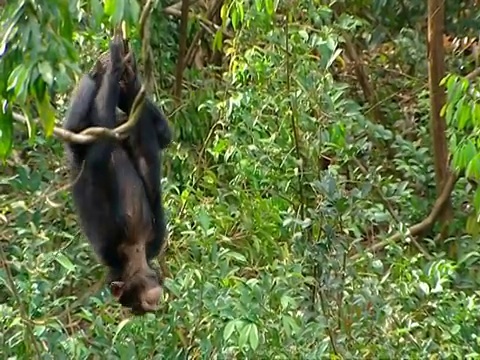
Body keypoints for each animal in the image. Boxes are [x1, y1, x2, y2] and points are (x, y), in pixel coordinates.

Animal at [61, 34, 171, 316]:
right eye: (139, 304)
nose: (153, 302)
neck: (136, 250)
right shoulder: (115, 242)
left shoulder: (153, 241)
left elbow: (160, 135)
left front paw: (126, 74)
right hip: (78, 139)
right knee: (88, 135)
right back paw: (109, 70)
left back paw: (112, 70)